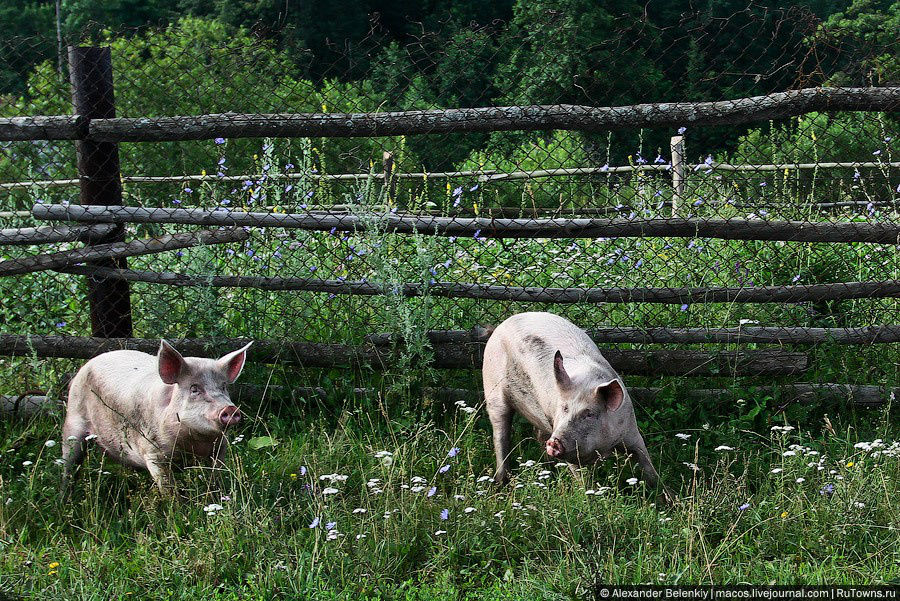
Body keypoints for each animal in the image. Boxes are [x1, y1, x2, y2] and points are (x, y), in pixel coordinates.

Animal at [60, 338, 251, 492]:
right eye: (194, 389)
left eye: (223, 387)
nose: (230, 408)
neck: (194, 443)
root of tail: (83, 369)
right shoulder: (154, 453)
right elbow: (169, 490)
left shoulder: (219, 449)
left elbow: (216, 479)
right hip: (73, 424)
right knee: (69, 465)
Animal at [486, 314, 660, 488]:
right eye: (564, 408)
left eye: (589, 414)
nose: (554, 442)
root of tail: (501, 325)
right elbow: (581, 477)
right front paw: (588, 493)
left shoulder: (631, 431)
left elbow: (647, 463)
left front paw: (661, 491)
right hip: (493, 394)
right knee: (500, 434)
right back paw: (502, 481)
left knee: (538, 434)